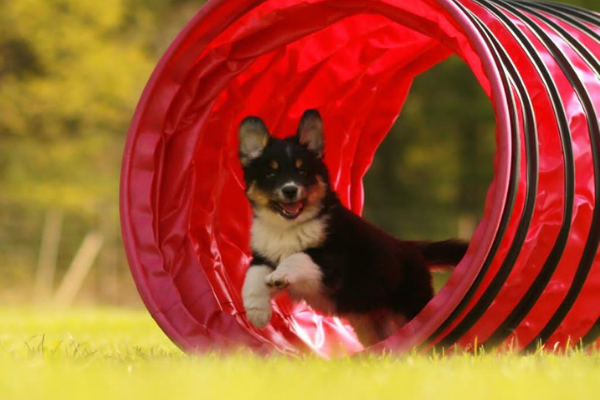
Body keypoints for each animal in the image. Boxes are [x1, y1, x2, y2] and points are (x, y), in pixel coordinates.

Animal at [237, 110, 466, 346]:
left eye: (303, 172)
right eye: (271, 174)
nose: (290, 190)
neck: (287, 227)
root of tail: (409, 248)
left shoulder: (332, 259)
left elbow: (297, 257)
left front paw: (279, 276)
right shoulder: (263, 256)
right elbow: (252, 278)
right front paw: (257, 314)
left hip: (410, 305)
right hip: (369, 322)